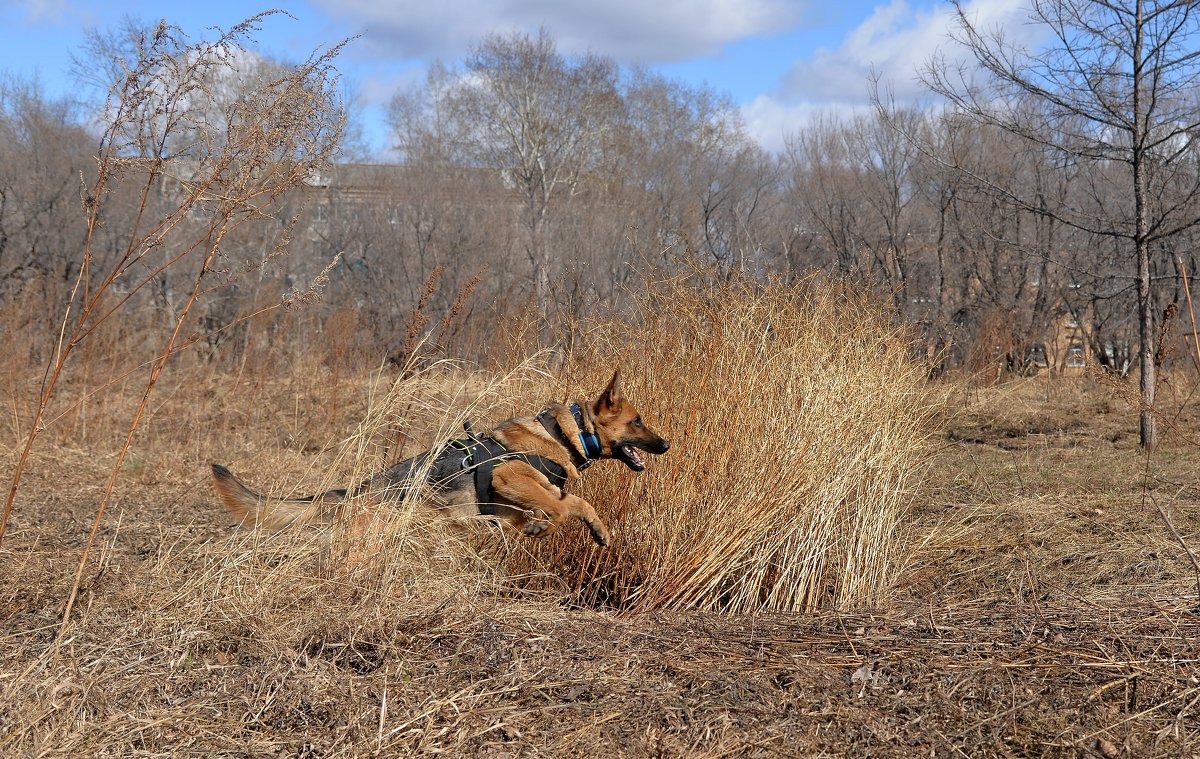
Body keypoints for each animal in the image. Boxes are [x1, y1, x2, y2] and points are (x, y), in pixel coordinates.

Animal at [210, 369, 672, 542]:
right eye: (637, 422)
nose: (667, 445)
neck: (567, 433)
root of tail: (355, 491)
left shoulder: (517, 502)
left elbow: (565, 504)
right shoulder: (509, 479)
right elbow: (565, 504)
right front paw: (559, 525)